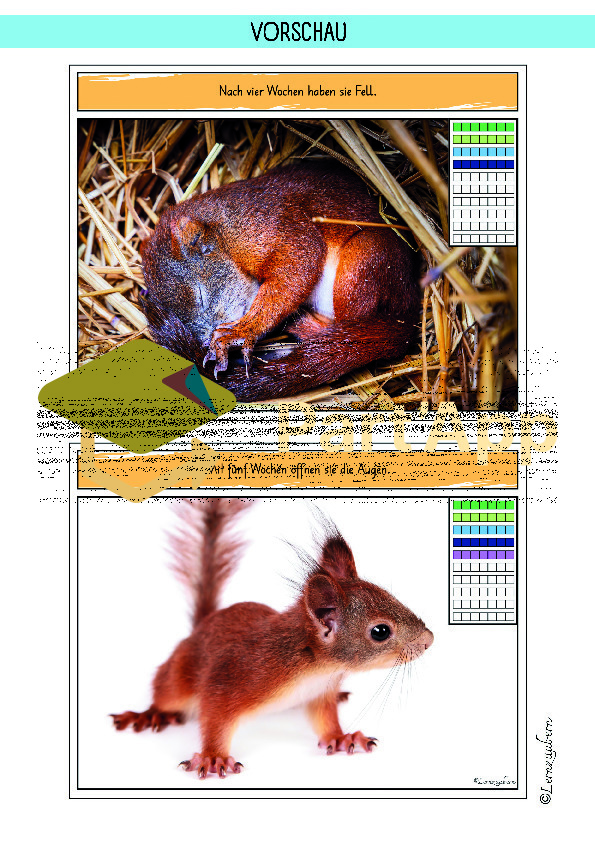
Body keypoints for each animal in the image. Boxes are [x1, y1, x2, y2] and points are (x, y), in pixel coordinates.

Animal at [111, 499, 433, 780]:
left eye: (390, 595)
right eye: (380, 631)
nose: (429, 640)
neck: (317, 665)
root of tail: (201, 626)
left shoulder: (319, 693)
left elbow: (325, 719)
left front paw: (342, 737)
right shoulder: (238, 676)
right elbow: (214, 716)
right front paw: (214, 757)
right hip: (180, 673)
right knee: (165, 692)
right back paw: (150, 714)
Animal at [140, 161, 418, 402]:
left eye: (200, 294)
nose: (206, 342)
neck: (222, 228)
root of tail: (406, 317)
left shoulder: (267, 225)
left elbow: (298, 264)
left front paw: (241, 330)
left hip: (366, 258)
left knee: (349, 321)